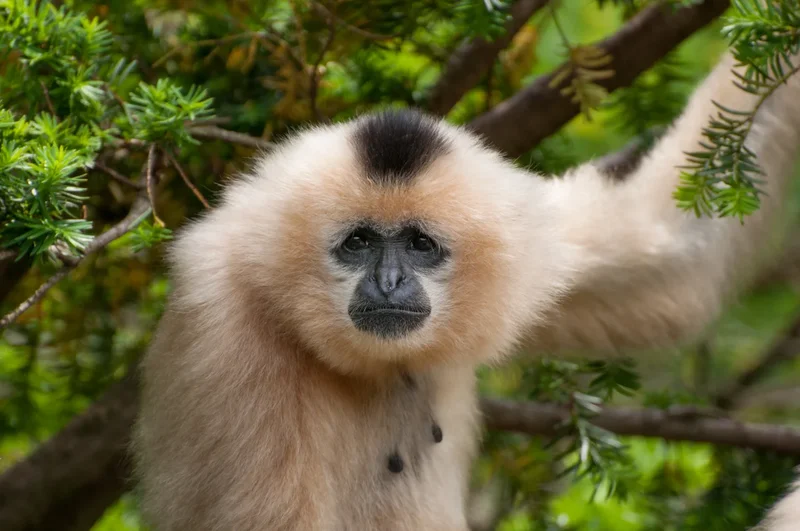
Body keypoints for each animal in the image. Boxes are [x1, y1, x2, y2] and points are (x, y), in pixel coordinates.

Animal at [132, 50, 800, 531]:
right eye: (358, 242)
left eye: (420, 244)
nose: (389, 281)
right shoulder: (227, 332)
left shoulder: (530, 241)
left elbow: (674, 266)